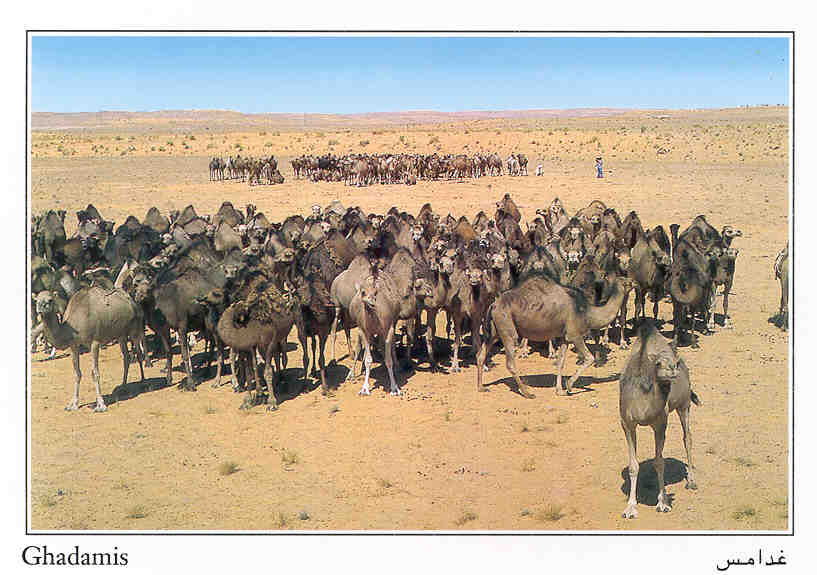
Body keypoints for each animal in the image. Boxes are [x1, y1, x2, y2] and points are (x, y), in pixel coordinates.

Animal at [474, 272, 636, 398]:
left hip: (494, 331)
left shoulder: (564, 337)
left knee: (481, 355)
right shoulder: (575, 335)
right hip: (507, 326)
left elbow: (560, 362)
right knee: (510, 362)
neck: (587, 313)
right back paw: (527, 392)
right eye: (628, 282)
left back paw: (481, 387)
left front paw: (560, 390)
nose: (636, 282)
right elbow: (589, 358)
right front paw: (569, 386)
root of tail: (493, 305)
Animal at [620, 322, 700, 520]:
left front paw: (663, 502)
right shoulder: (627, 423)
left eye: (675, 362)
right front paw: (630, 508)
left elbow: (659, 462)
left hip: (684, 404)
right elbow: (633, 466)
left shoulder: (660, 424)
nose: (672, 369)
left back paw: (692, 481)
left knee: (687, 437)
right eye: (658, 363)